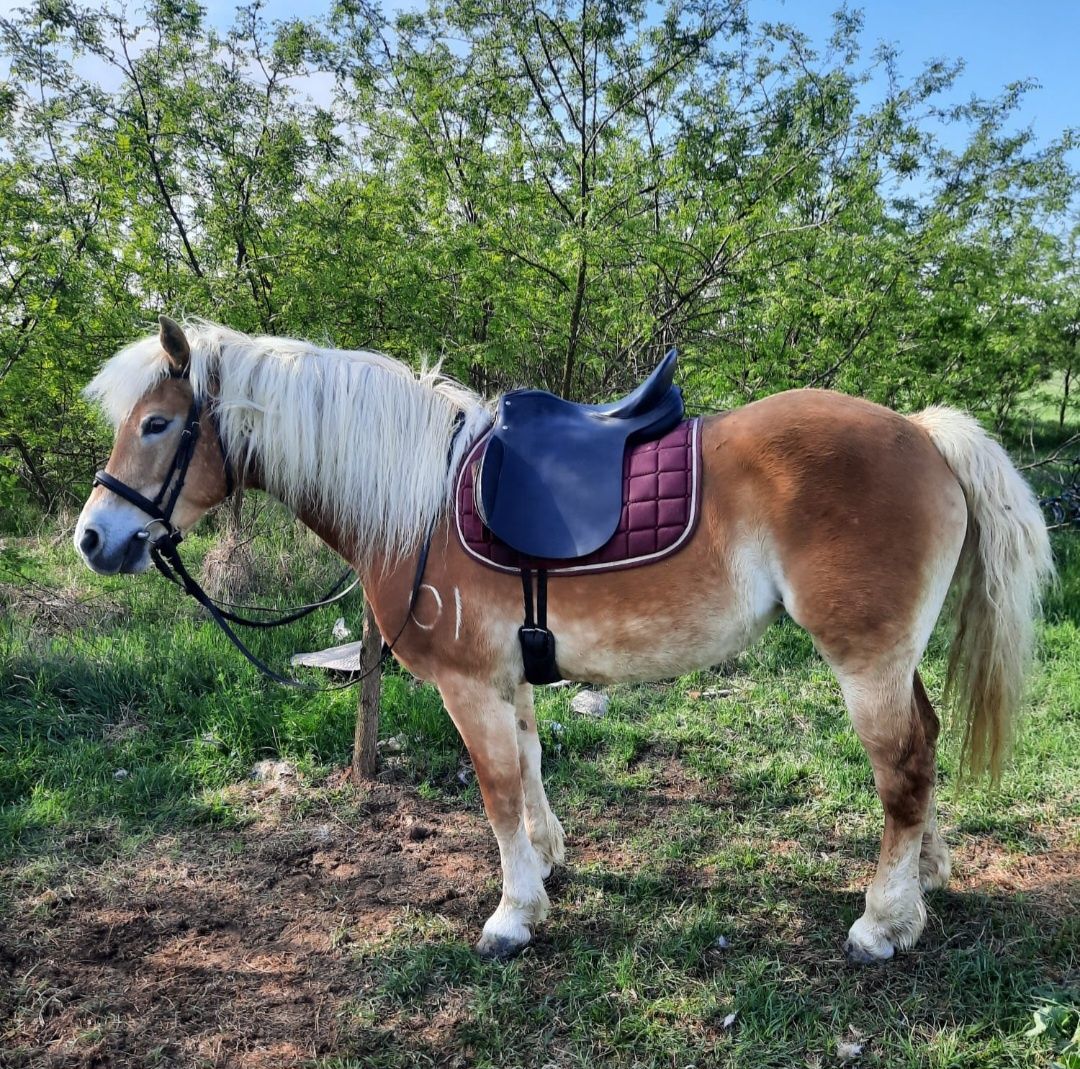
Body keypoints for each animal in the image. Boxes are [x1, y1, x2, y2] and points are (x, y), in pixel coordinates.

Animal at [76, 315, 1054, 963]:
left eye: (157, 423)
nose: (92, 538)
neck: (418, 499)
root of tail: (921, 432)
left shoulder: (466, 683)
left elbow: (496, 788)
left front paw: (513, 912)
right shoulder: (508, 677)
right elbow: (532, 763)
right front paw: (547, 863)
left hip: (865, 663)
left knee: (902, 768)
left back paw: (883, 921)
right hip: (895, 659)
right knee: (923, 750)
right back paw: (924, 880)